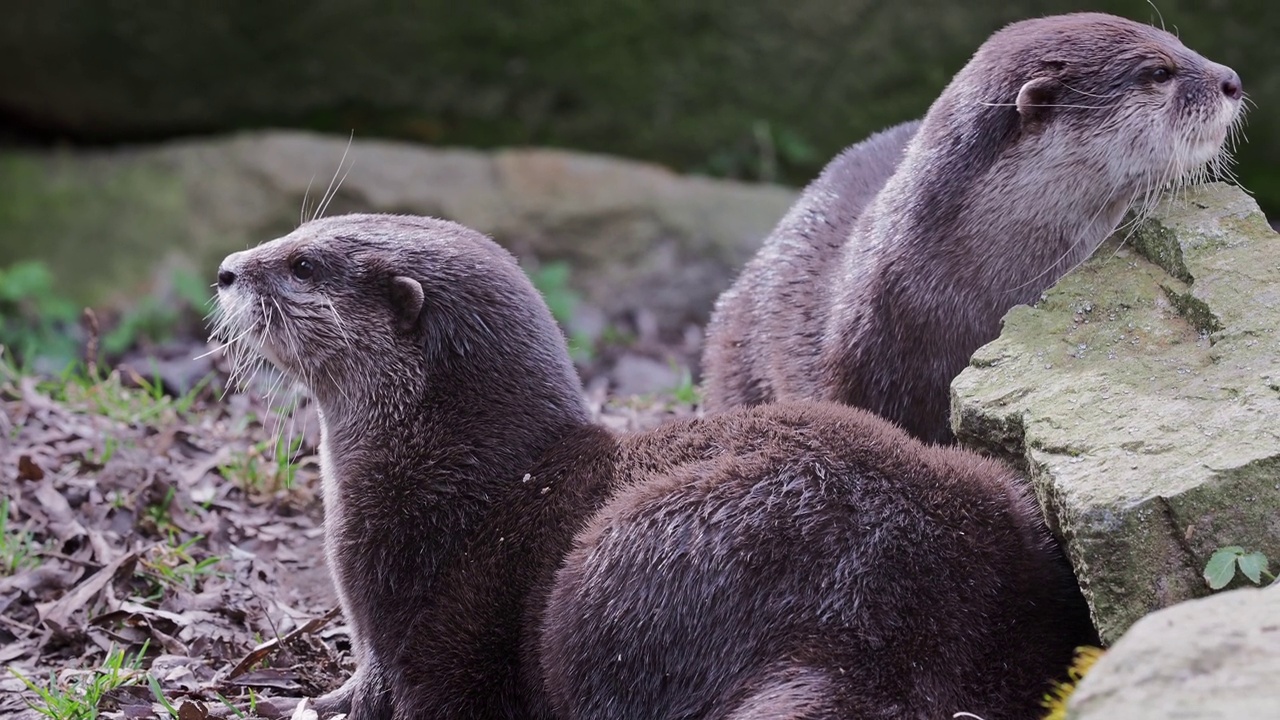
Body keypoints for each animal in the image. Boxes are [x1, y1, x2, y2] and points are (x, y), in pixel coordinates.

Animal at [215, 212, 1095, 717]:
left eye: (302, 264)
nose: (225, 268)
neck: (448, 477)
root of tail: (886, 616)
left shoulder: (401, 623)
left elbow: (394, 688)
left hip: (623, 557)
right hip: (994, 502)